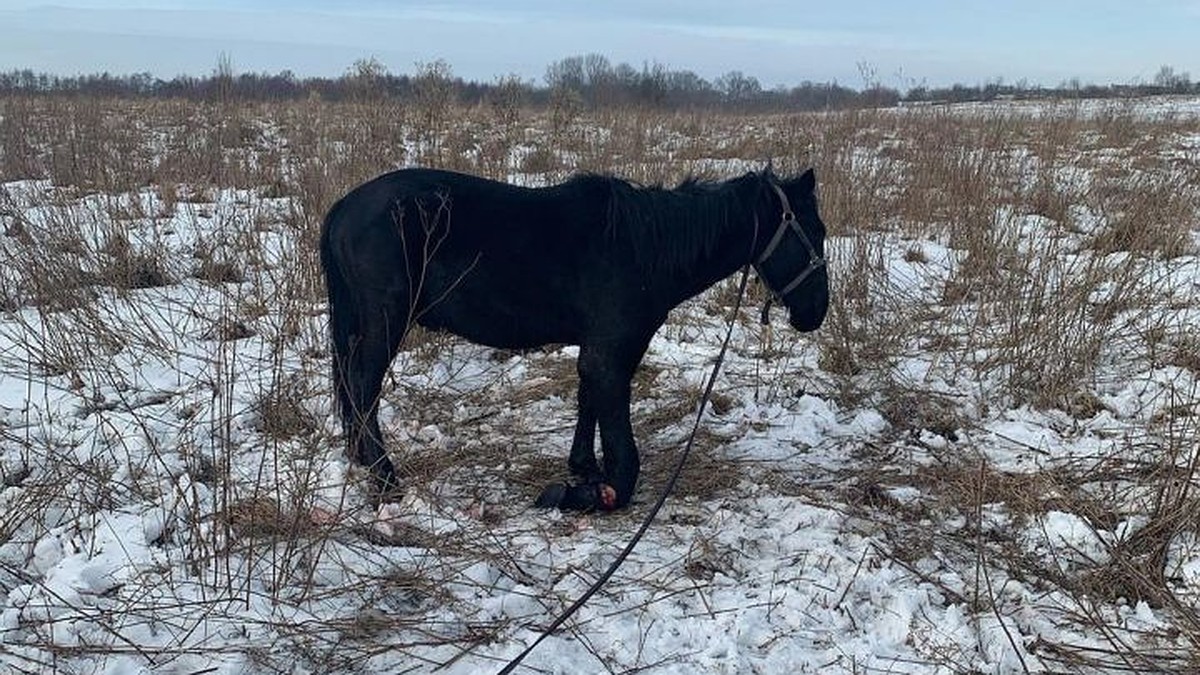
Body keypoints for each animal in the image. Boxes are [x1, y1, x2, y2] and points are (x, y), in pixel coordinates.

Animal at [316, 165, 825, 506]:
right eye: (814, 233)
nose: (815, 313)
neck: (645, 247)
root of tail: (343, 208)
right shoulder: (612, 350)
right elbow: (615, 425)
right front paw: (603, 488)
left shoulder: (597, 346)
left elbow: (587, 400)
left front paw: (583, 467)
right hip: (385, 323)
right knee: (364, 389)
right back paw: (385, 479)